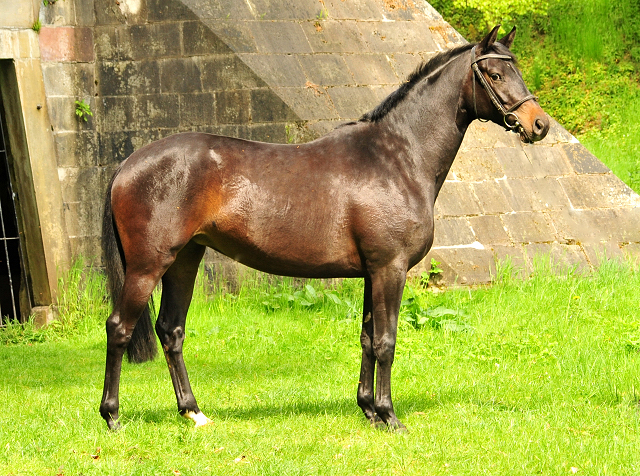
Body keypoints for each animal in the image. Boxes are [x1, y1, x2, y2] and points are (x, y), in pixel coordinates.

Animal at [99, 26, 552, 432]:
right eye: (494, 74)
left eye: (515, 68)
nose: (539, 124)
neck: (398, 158)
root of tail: (126, 165)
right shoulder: (390, 268)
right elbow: (386, 342)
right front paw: (390, 416)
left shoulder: (373, 272)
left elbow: (368, 338)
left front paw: (369, 410)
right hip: (148, 265)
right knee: (119, 328)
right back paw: (113, 417)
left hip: (184, 261)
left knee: (171, 331)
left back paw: (193, 413)